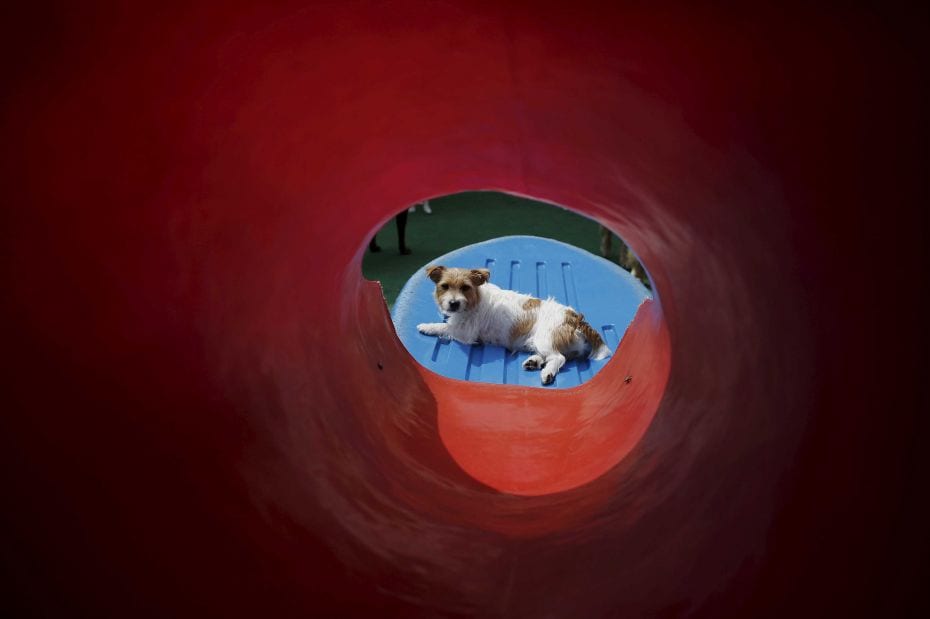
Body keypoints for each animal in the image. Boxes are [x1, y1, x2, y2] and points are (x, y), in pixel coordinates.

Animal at [416, 266, 608, 386]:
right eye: (445, 286)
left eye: (465, 287)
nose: (453, 303)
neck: (474, 299)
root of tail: (574, 317)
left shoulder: (465, 332)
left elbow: (445, 327)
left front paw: (427, 326)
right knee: (557, 356)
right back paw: (533, 362)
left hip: (544, 338)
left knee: (558, 357)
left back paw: (547, 373)